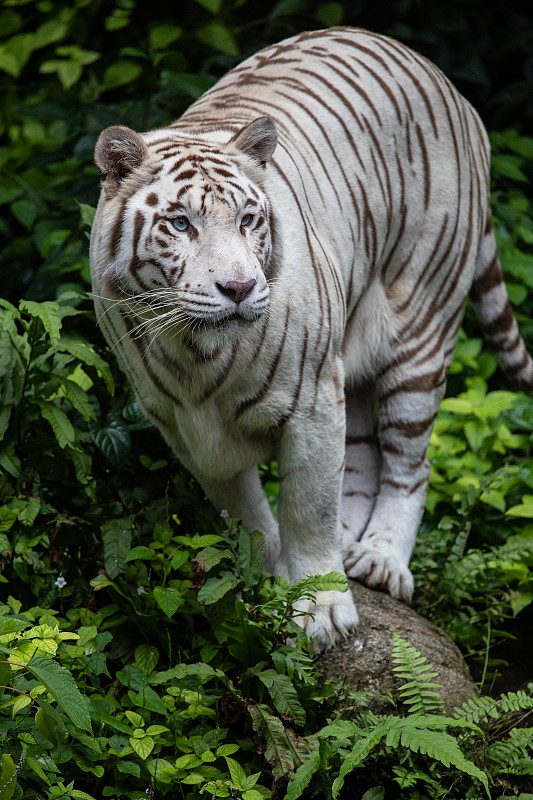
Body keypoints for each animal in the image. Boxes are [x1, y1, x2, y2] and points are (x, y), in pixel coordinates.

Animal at [90, 28, 532, 648]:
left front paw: (320, 608)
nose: (239, 286)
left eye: (248, 220)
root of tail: (449, 86)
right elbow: (245, 516)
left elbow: (308, 504)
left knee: (410, 462)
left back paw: (381, 562)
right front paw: (269, 575)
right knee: (365, 456)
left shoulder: (313, 402)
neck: (195, 355)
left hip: (423, 328)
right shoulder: (182, 429)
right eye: (181, 224)